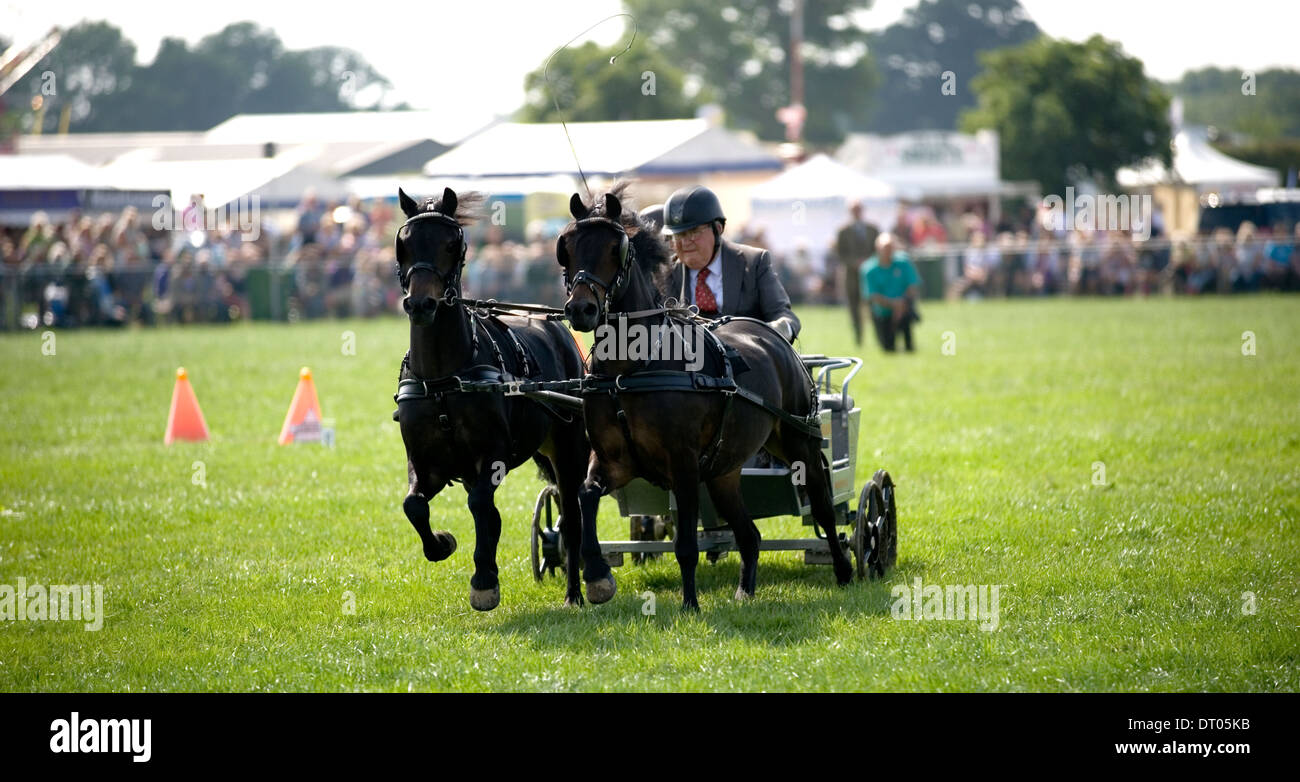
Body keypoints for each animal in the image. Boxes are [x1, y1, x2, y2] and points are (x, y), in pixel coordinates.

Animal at [395, 185, 613, 605]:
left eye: (452, 244)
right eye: (404, 244)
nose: (421, 304)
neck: (444, 379)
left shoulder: (491, 453)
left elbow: (481, 505)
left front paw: (484, 579)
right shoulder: (424, 460)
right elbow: (413, 505)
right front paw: (442, 543)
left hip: (569, 448)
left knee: (573, 516)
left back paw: (577, 591)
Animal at [556, 184, 852, 607]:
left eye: (617, 247)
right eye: (565, 246)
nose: (581, 309)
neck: (629, 372)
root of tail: (770, 334)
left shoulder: (682, 464)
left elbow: (685, 545)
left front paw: (690, 605)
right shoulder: (614, 460)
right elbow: (584, 496)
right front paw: (596, 576)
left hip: (799, 444)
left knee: (825, 510)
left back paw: (844, 571)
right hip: (724, 470)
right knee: (748, 533)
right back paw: (744, 591)